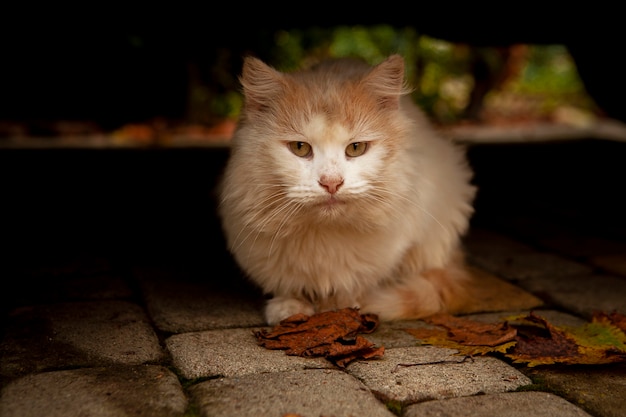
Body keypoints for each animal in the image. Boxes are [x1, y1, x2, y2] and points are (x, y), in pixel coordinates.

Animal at [217, 52, 476, 324]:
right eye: (299, 147)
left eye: (355, 148)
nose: (331, 182)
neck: (323, 233)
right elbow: (289, 286)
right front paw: (290, 308)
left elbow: (351, 285)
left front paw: (339, 308)